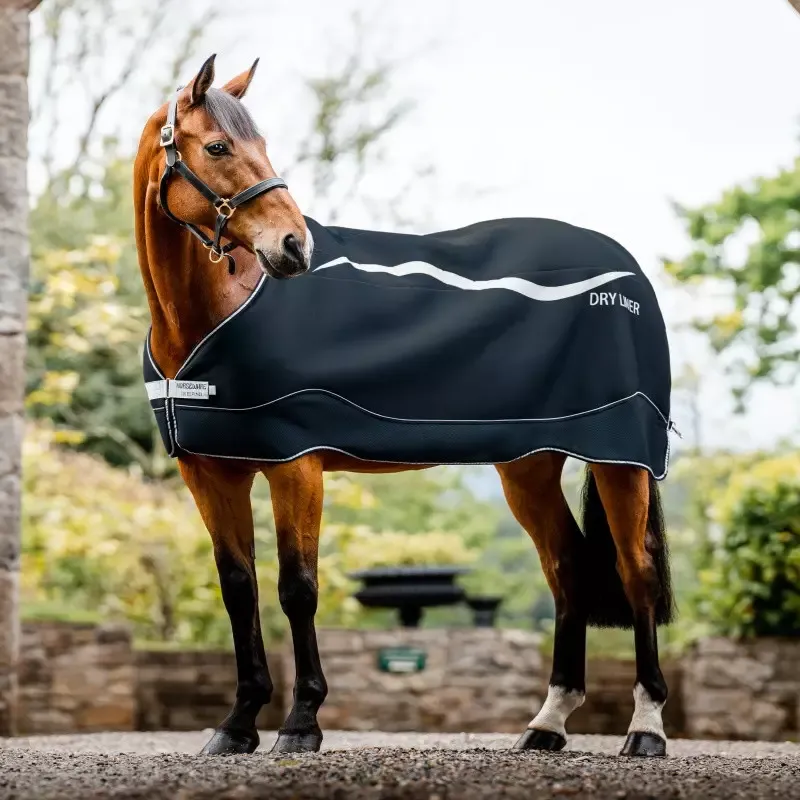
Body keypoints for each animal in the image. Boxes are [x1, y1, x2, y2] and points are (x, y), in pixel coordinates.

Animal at [133, 55, 674, 758]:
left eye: (262, 144)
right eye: (219, 146)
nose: (294, 247)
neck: (210, 315)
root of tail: (625, 269)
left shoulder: (295, 466)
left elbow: (296, 589)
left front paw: (301, 723)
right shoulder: (209, 473)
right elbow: (238, 589)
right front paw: (237, 724)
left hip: (620, 459)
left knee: (636, 573)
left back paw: (646, 728)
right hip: (528, 467)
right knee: (569, 568)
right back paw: (547, 723)